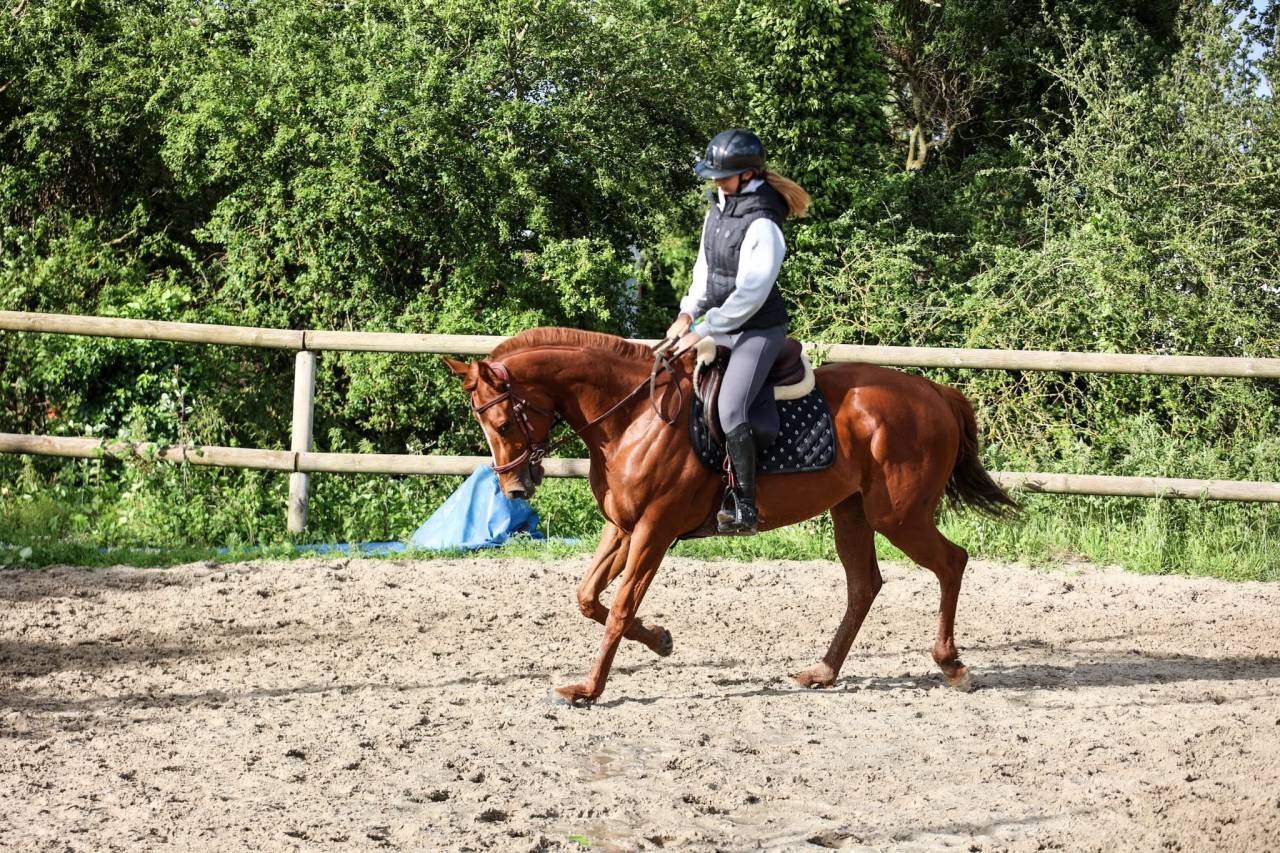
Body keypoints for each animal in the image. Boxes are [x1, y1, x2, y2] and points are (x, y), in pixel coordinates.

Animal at [443, 328, 1017, 704]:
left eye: (502, 420)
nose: (515, 487)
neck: (632, 417)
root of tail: (935, 393)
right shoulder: (624, 526)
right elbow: (588, 597)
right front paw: (660, 640)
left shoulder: (654, 529)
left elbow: (622, 604)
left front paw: (589, 688)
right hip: (852, 513)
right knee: (864, 585)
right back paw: (823, 672)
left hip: (898, 516)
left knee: (951, 563)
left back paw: (951, 664)